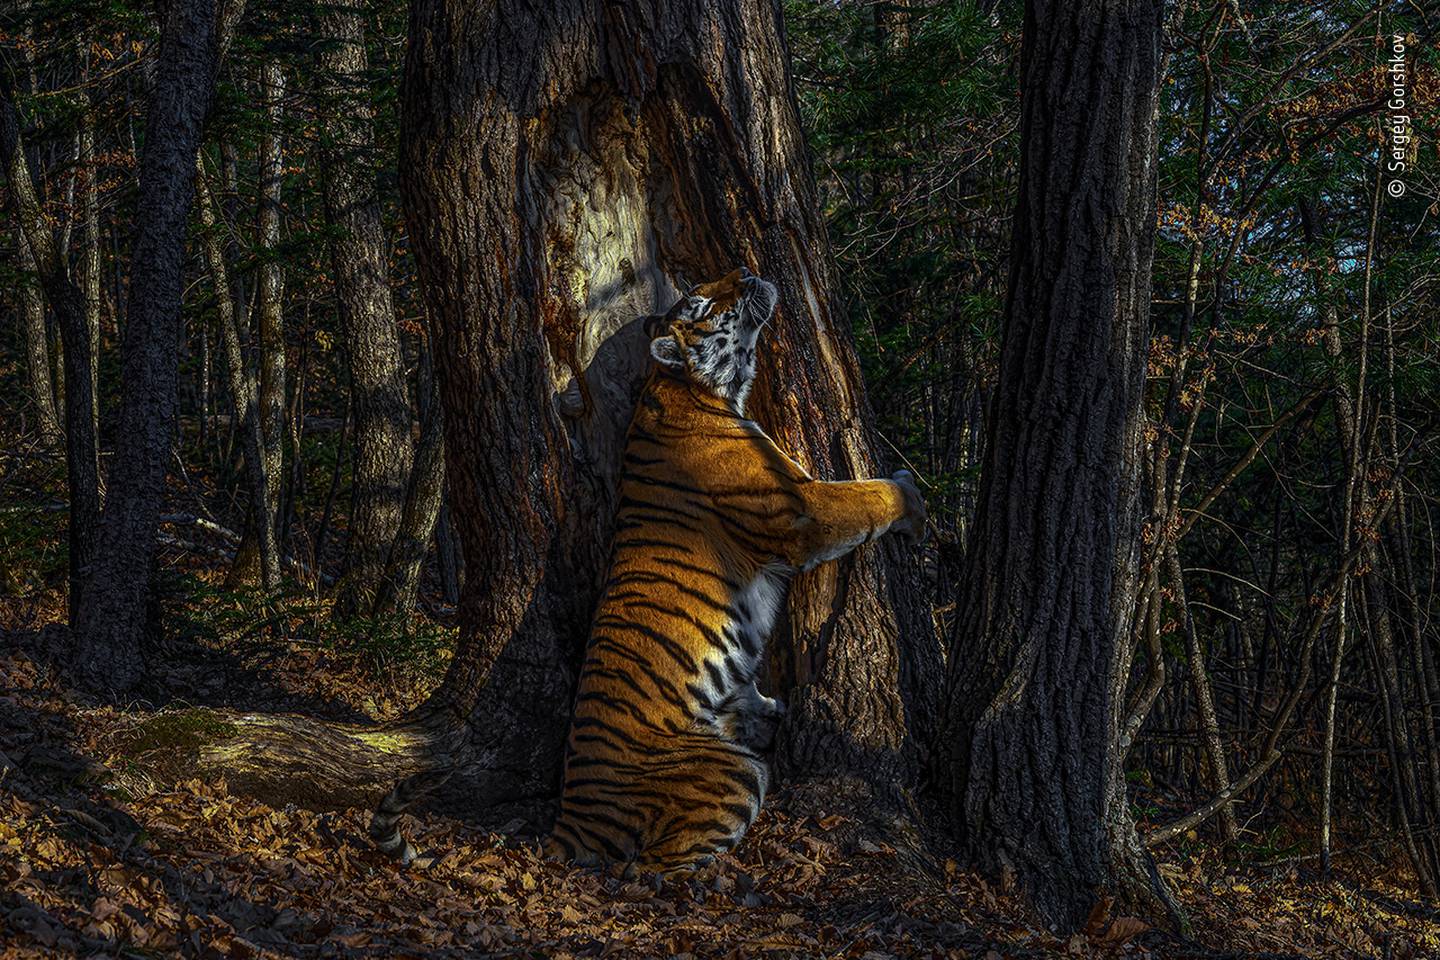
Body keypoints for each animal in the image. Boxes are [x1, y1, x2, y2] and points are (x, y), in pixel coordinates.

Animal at [538, 264, 921, 880]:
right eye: (701, 306)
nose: (743, 270)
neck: (687, 389)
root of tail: (568, 820)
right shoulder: (803, 509)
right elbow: (867, 496)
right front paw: (914, 499)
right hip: (730, 773)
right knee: (653, 870)